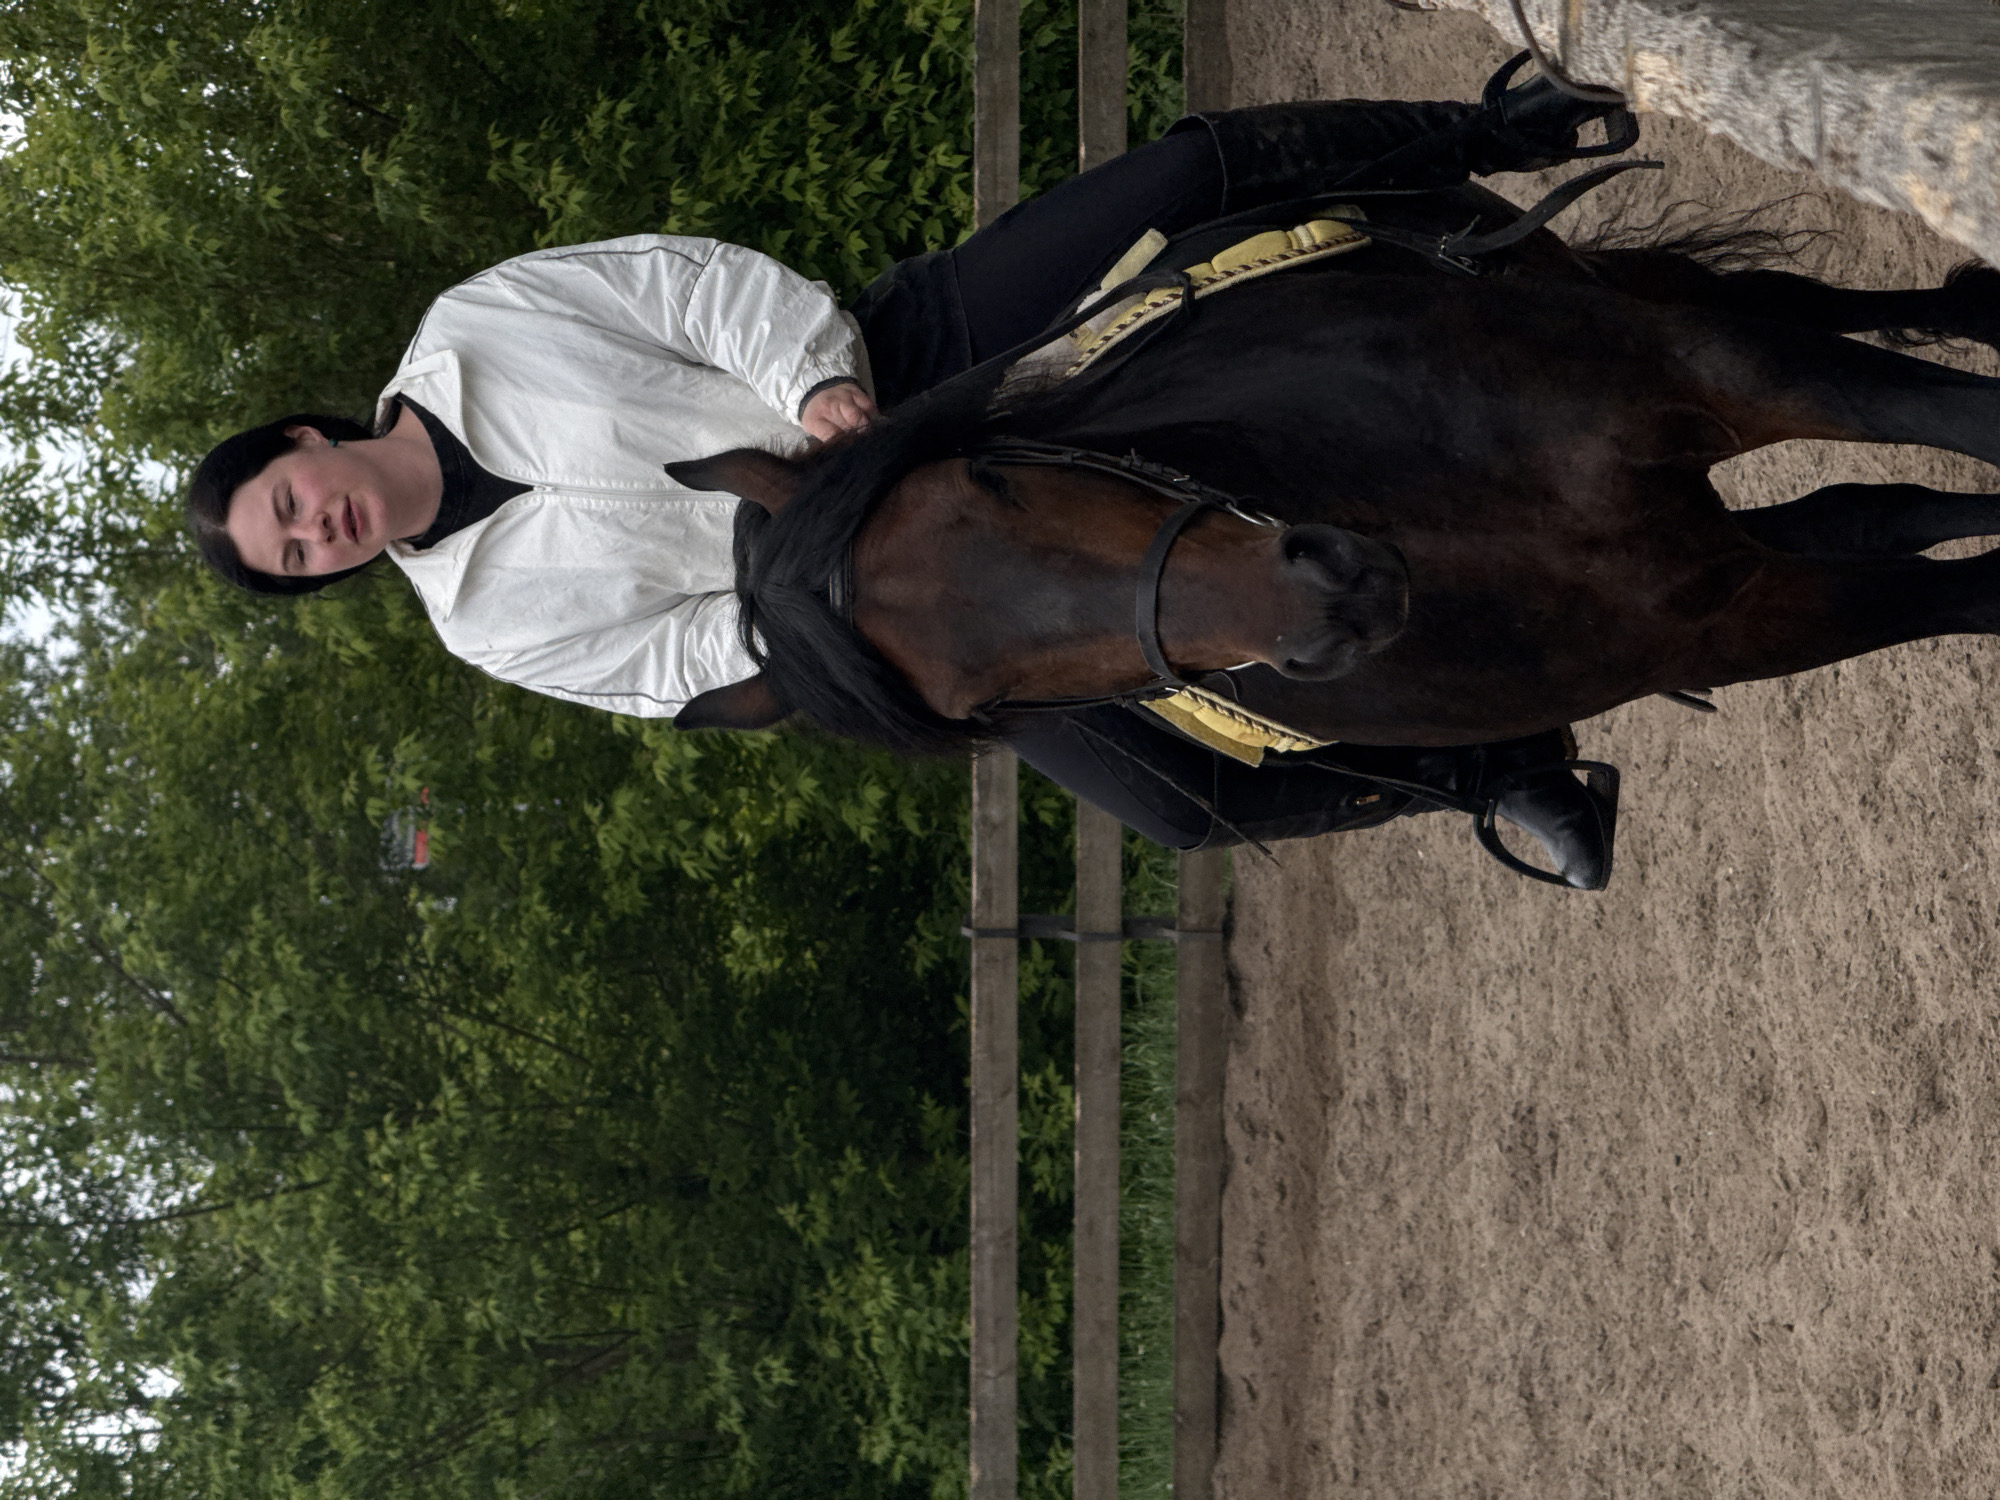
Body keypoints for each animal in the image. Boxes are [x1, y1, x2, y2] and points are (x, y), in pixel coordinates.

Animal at [665, 182, 2000, 764]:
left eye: (984, 487)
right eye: (979, 701)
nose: (1332, 600)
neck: (1446, 527)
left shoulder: (1713, 375)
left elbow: (1946, 412)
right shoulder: (1724, 616)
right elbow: (1955, 582)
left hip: (1652, 305)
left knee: (1827, 322)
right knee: (1870, 511)